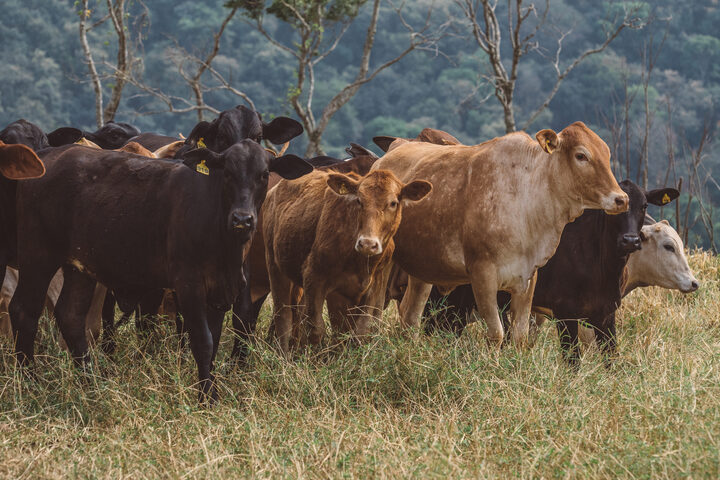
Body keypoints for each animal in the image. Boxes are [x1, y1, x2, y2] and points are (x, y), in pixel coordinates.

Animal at [9, 141, 312, 404]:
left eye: (264, 174)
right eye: (227, 172)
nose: (242, 219)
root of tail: (49, 155)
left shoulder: (220, 292)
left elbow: (214, 344)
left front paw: (209, 391)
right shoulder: (188, 284)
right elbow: (202, 341)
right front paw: (207, 399)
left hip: (79, 266)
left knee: (71, 316)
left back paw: (91, 383)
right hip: (38, 255)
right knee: (24, 311)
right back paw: (30, 382)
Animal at [264, 169, 434, 352]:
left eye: (393, 203)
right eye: (359, 200)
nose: (367, 244)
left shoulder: (375, 285)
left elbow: (361, 330)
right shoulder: (314, 276)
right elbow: (316, 328)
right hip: (274, 265)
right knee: (283, 317)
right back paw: (284, 353)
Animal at [420, 182, 676, 366]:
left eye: (644, 205)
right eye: (612, 208)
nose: (630, 240)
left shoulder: (605, 313)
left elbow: (612, 360)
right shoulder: (565, 314)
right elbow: (572, 362)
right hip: (445, 299)